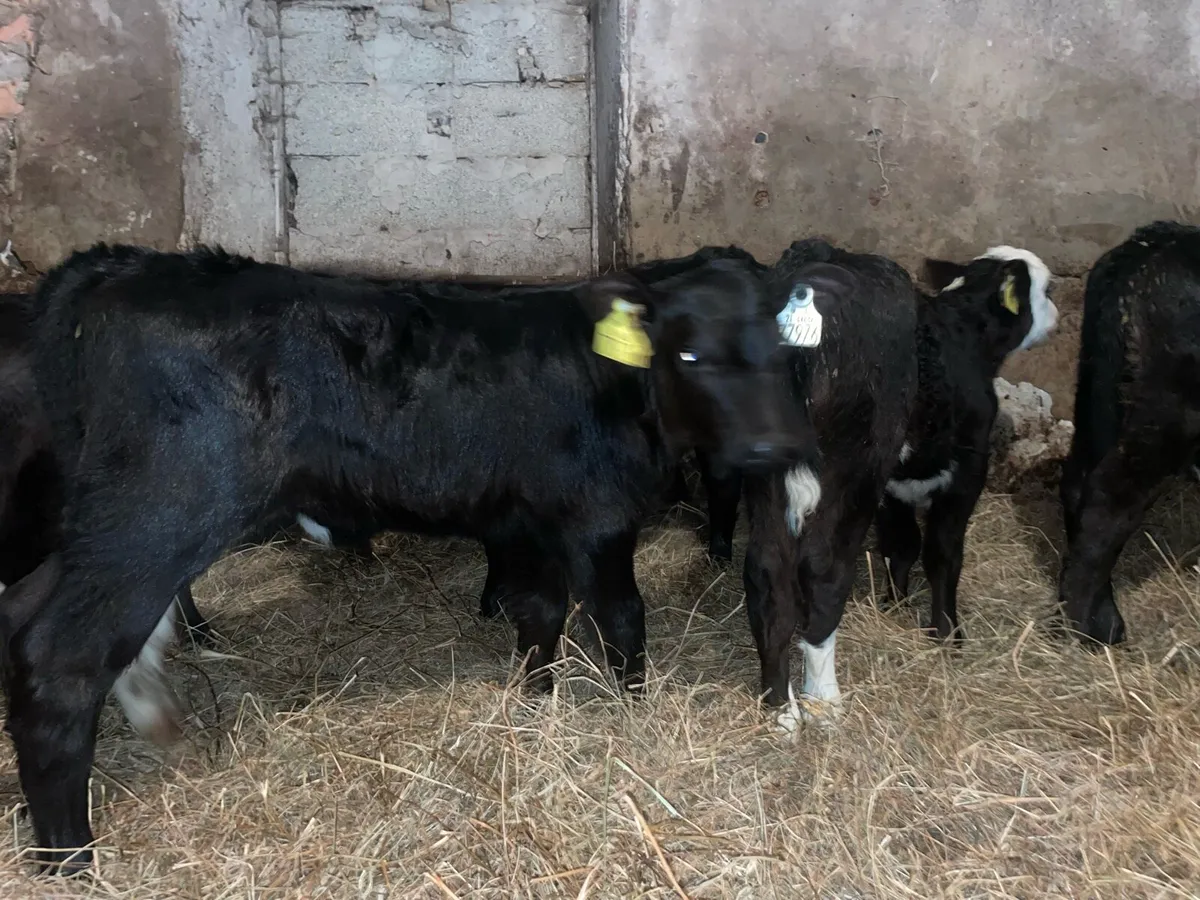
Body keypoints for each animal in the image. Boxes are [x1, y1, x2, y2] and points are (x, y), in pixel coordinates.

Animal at [0, 242, 808, 872]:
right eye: (691, 352)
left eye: (780, 351)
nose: (769, 446)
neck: (615, 381)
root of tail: (122, 265)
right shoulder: (599, 519)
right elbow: (621, 620)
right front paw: (633, 711)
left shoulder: (534, 522)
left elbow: (540, 617)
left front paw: (534, 704)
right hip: (159, 514)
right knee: (60, 657)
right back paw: (69, 855)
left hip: (100, 527)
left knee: (22, 615)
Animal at [875, 246, 1058, 641]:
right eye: (1046, 289)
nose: (1056, 315)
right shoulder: (968, 473)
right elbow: (936, 553)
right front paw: (946, 631)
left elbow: (904, 546)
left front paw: (894, 607)